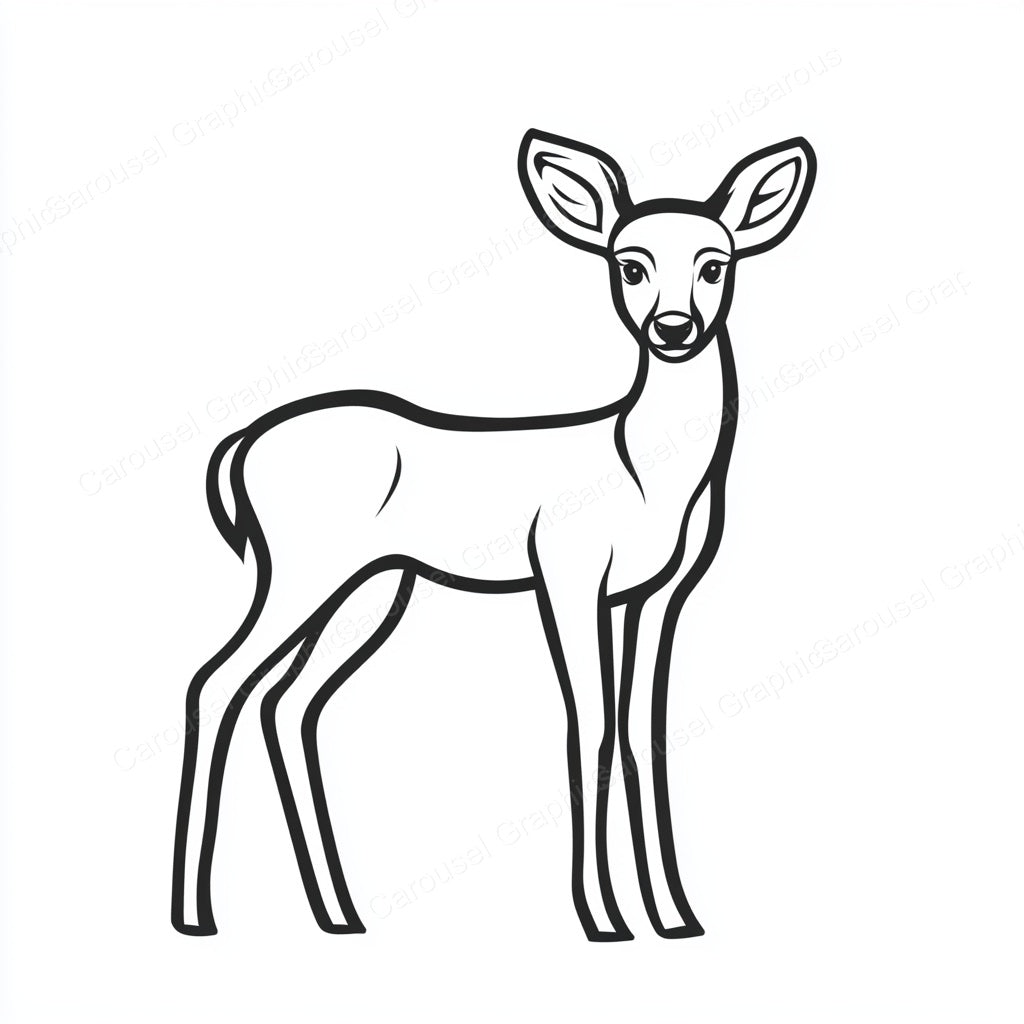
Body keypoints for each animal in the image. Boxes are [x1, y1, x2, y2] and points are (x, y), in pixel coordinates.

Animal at [171, 129, 816, 941]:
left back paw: (340, 913)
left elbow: (644, 730)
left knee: (287, 704)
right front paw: (602, 917)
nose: (674, 329)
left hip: (373, 588)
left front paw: (674, 915)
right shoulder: (567, 573)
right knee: (215, 681)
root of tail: (241, 444)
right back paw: (196, 913)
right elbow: (590, 727)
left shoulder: (657, 595)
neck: (645, 469)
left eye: (715, 263)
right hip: (300, 571)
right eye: (629, 263)